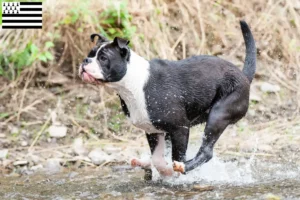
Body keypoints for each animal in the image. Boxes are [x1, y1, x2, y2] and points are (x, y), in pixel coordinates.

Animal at [78, 20, 256, 178]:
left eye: (103, 58)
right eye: (90, 54)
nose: (85, 60)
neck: (133, 82)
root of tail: (244, 76)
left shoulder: (180, 127)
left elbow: (176, 156)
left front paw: (173, 171)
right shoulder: (154, 131)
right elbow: (157, 158)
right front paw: (164, 171)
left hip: (218, 114)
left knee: (206, 152)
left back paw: (183, 166)